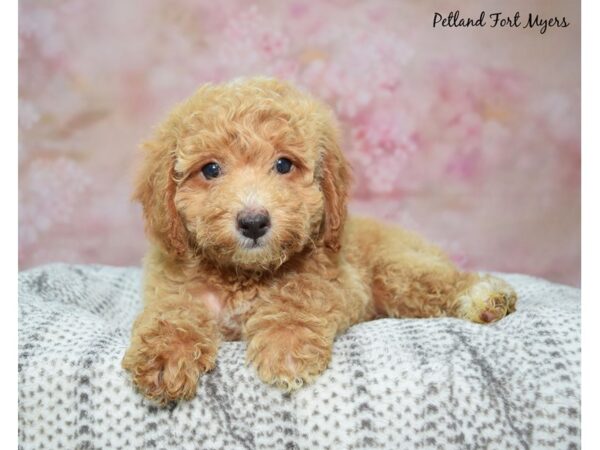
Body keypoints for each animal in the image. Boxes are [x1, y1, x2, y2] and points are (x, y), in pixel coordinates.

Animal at [120, 77, 516, 404]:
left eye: (283, 165)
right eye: (211, 170)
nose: (253, 222)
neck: (244, 274)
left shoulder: (340, 282)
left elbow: (299, 294)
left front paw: (286, 344)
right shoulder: (172, 285)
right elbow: (172, 313)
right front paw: (164, 357)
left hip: (395, 269)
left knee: (440, 280)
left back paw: (485, 296)